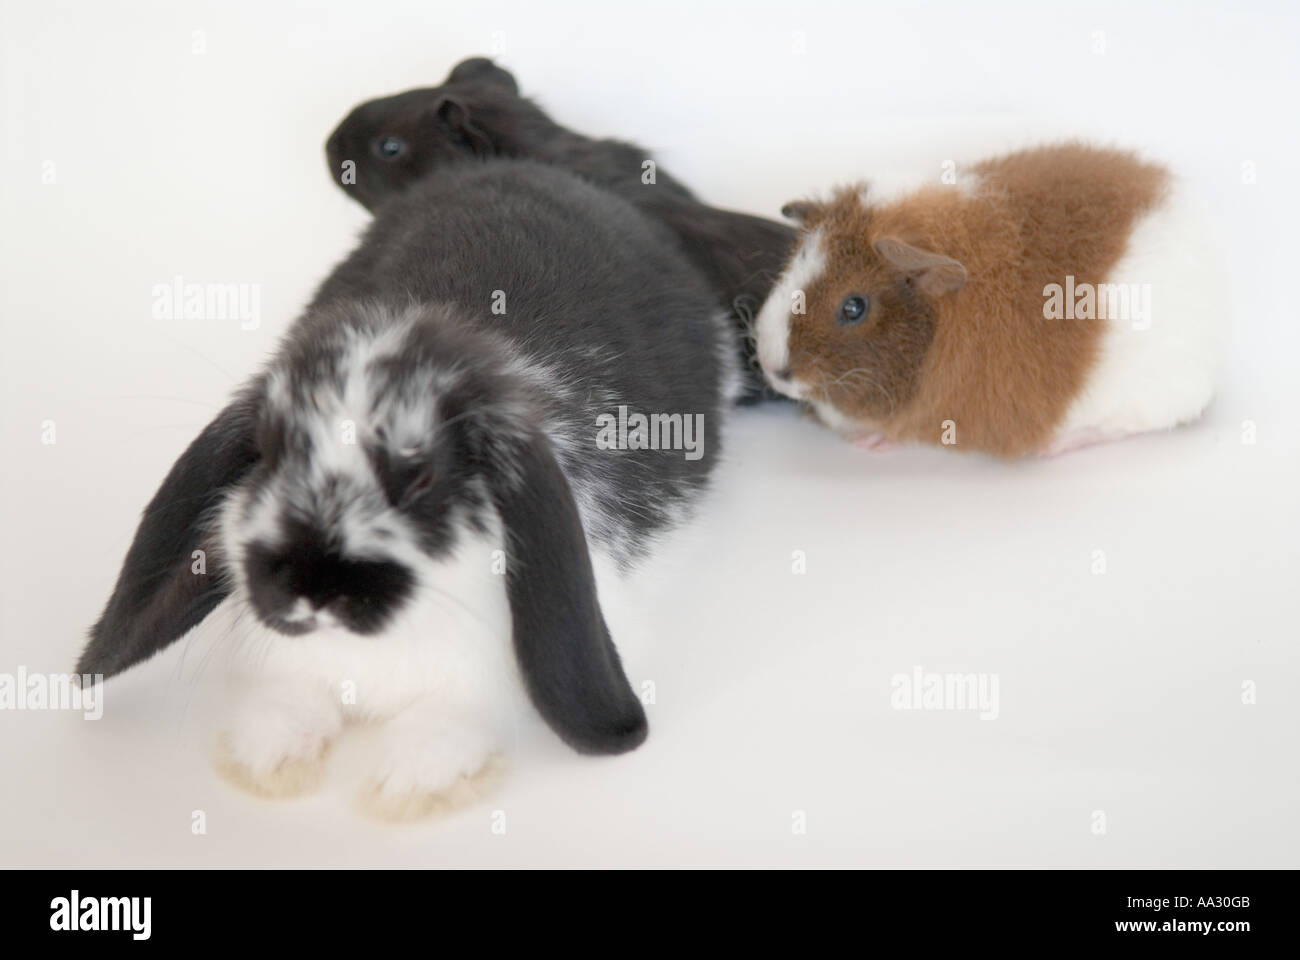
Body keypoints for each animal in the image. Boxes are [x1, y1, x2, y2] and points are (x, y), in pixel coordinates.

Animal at [78, 159, 739, 818]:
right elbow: (293, 694)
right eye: (266, 451)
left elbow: (454, 716)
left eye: (421, 475)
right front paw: (267, 758)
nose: (311, 591)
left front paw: (409, 785)